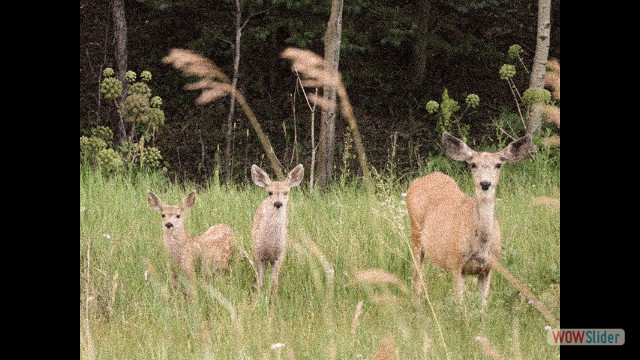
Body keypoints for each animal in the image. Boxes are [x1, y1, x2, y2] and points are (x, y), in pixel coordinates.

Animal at [250, 163, 304, 296]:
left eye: (286, 192)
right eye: (270, 192)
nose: (278, 203)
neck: (270, 243)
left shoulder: (280, 254)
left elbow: (275, 282)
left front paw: (274, 298)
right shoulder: (258, 253)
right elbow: (260, 281)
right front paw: (259, 297)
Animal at [408, 133, 532, 306]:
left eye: (498, 164)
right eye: (473, 164)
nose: (485, 183)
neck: (481, 245)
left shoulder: (488, 268)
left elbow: (483, 306)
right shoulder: (456, 263)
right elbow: (460, 306)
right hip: (415, 235)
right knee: (416, 274)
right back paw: (417, 306)